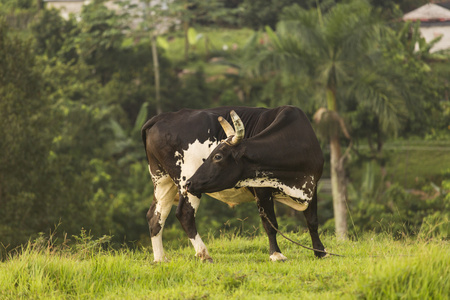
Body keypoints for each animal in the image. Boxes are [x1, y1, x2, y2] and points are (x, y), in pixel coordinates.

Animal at [142, 106, 326, 262]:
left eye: (217, 156)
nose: (191, 182)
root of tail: (162, 117)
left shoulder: (312, 186)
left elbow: (312, 221)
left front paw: (320, 251)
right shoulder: (261, 190)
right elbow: (270, 224)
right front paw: (276, 254)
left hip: (163, 180)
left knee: (155, 216)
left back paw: (160, 259)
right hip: (184, 180)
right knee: (185, 214)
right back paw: (204, 254)